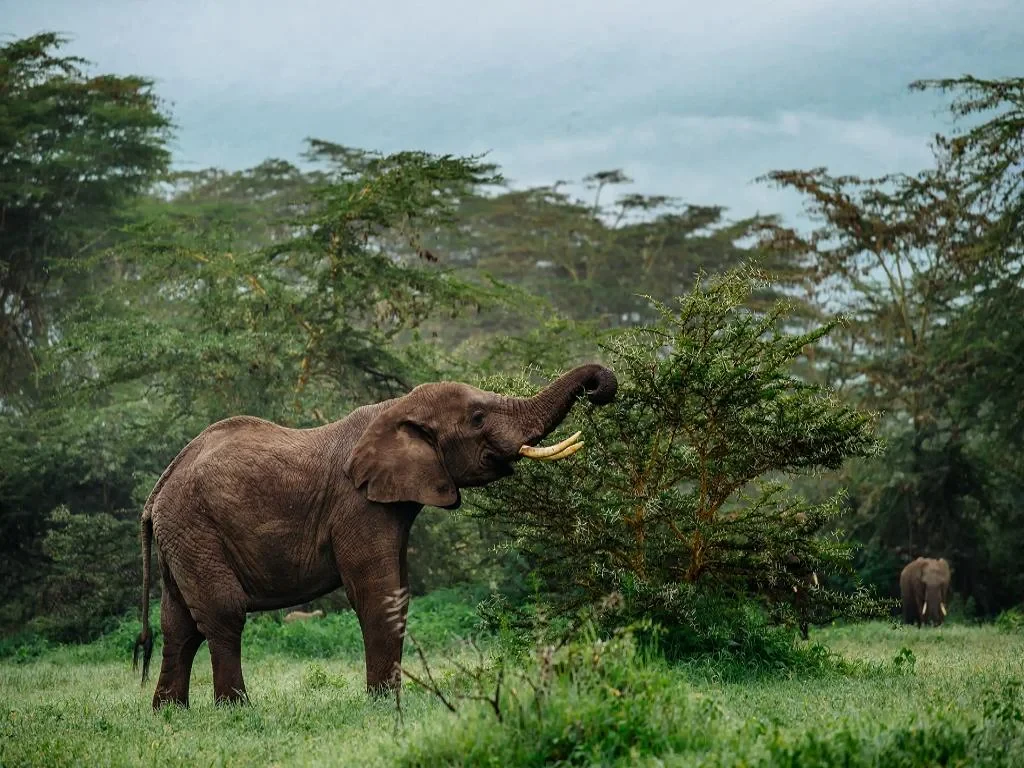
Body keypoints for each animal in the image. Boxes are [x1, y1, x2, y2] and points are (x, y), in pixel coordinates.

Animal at [131, 363, 617, 709]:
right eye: (478, 418)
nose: (600, 389)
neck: (397, 408)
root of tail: (158, 490)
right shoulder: (357, 504)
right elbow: (378, 592)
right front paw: (385, 704)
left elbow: (397, 590)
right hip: (196, 528)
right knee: (223, 613)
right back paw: (235, 710)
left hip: (184, 537)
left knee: (179, 625)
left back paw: (170, 713)